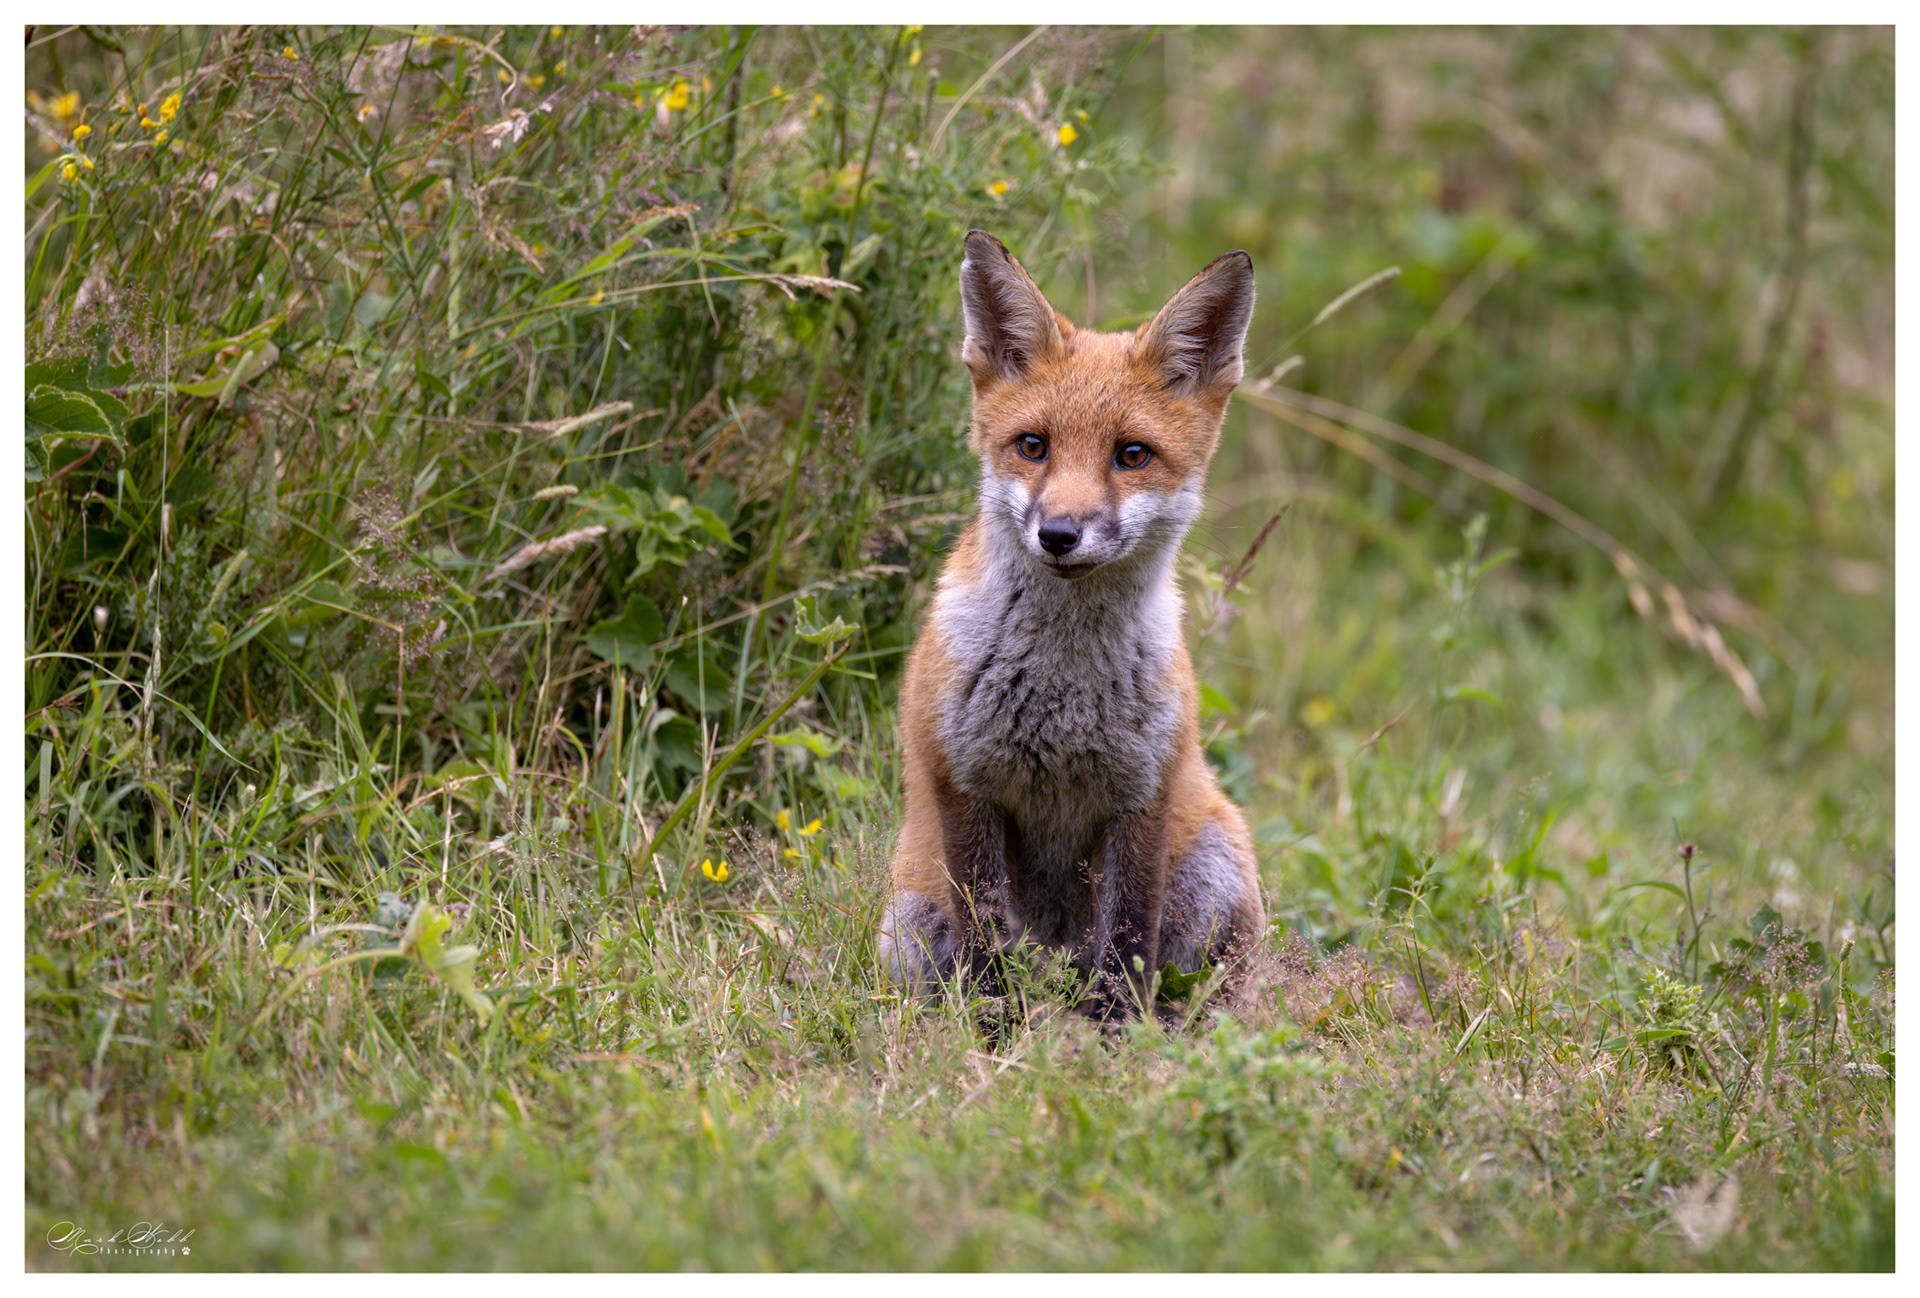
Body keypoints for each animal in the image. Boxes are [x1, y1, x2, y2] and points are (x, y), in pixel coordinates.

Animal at [877, 229, 1265, 1023]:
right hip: (909, 928)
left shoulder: (1142, 793)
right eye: (1033, 446)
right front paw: (990, 1037)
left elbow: (1127, 945)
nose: (1059, 534)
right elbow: (986, 943)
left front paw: (1118, 1040)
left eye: (1132, 455)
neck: (1060, 694)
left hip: (1214, 868)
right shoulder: (963, 781)